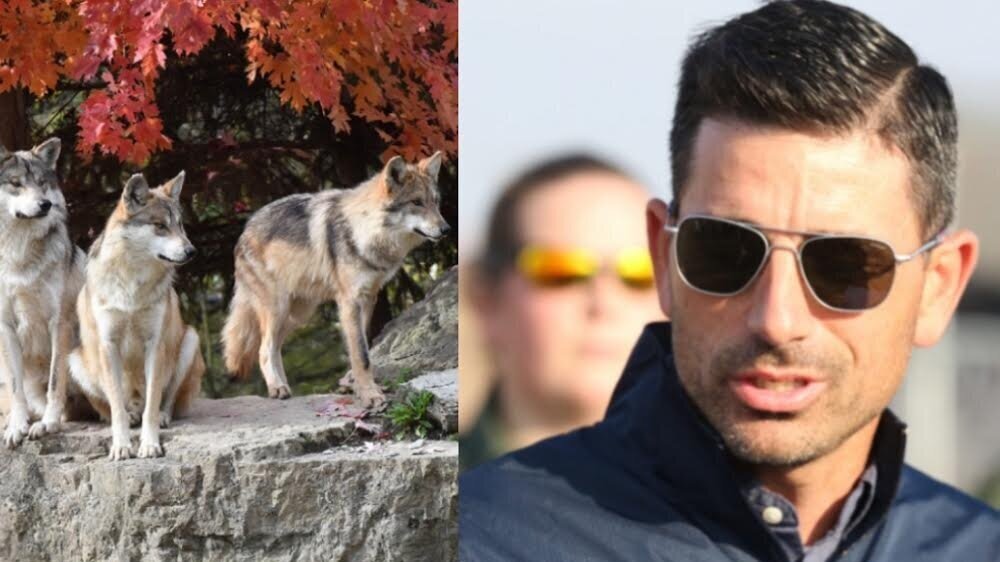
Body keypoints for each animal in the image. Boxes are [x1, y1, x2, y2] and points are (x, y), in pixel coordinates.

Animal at [0, 138, 86, 448]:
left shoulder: (58, 323)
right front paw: (17, 426)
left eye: (41, 183)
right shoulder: (5, 327)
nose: (45, 204)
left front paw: (48, 424)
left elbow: (54, 380)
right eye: (16, 183)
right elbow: (16, 388)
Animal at [69, 172, 205, 460]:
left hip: (190, 339)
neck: (133, 282)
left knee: (165, 402)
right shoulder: (108, 345)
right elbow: (116, 409)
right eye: (160, 226)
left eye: (180, 225)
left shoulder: (155, 345)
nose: (192, 251)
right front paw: (121, 446)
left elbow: (152, 404)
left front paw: (149, 444)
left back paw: (161, 416)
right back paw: (131, 414)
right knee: (112, 409)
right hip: (74, 360)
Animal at [222, 152, 450, 409]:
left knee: (274, 347)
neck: (363, 231)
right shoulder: (349, 300)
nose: (446, 229)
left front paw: (356, 384)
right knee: (264, 349)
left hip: (299, 314)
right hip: (278, 308)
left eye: (435, 202)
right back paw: (277, 388)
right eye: (416, 202)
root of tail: (244, 230)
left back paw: (285, 387)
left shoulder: (369, 298)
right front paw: (370, 394)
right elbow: (361, 353)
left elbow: (361, 348)